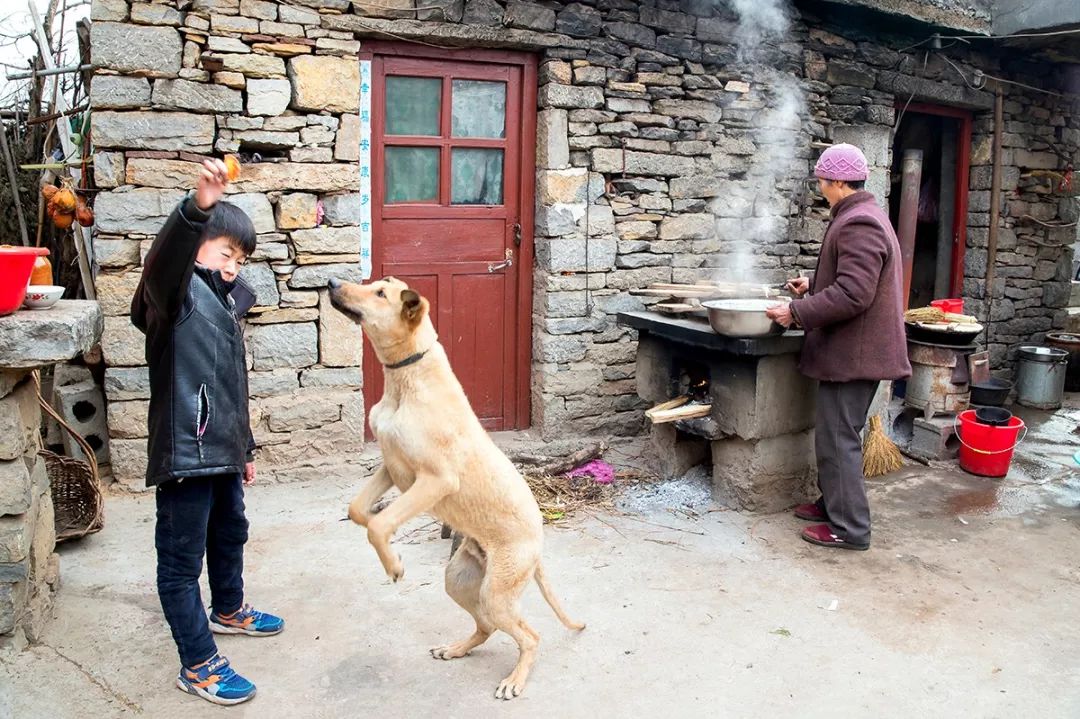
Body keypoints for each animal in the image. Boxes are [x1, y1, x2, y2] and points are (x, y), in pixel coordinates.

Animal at [326, 275, 587, 699]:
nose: (332, 281)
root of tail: (537, 547)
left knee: (529, 636)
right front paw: (385, 542)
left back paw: (514, 679)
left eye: (380, 293)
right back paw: (456, 648)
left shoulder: (434, 479)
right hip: (459, 581)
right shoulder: (391, 466)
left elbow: (379, 525)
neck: (406, 378)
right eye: (374, 284)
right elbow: (359, 511)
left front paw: (393, 563)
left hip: (496, 593)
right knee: (486, 627)